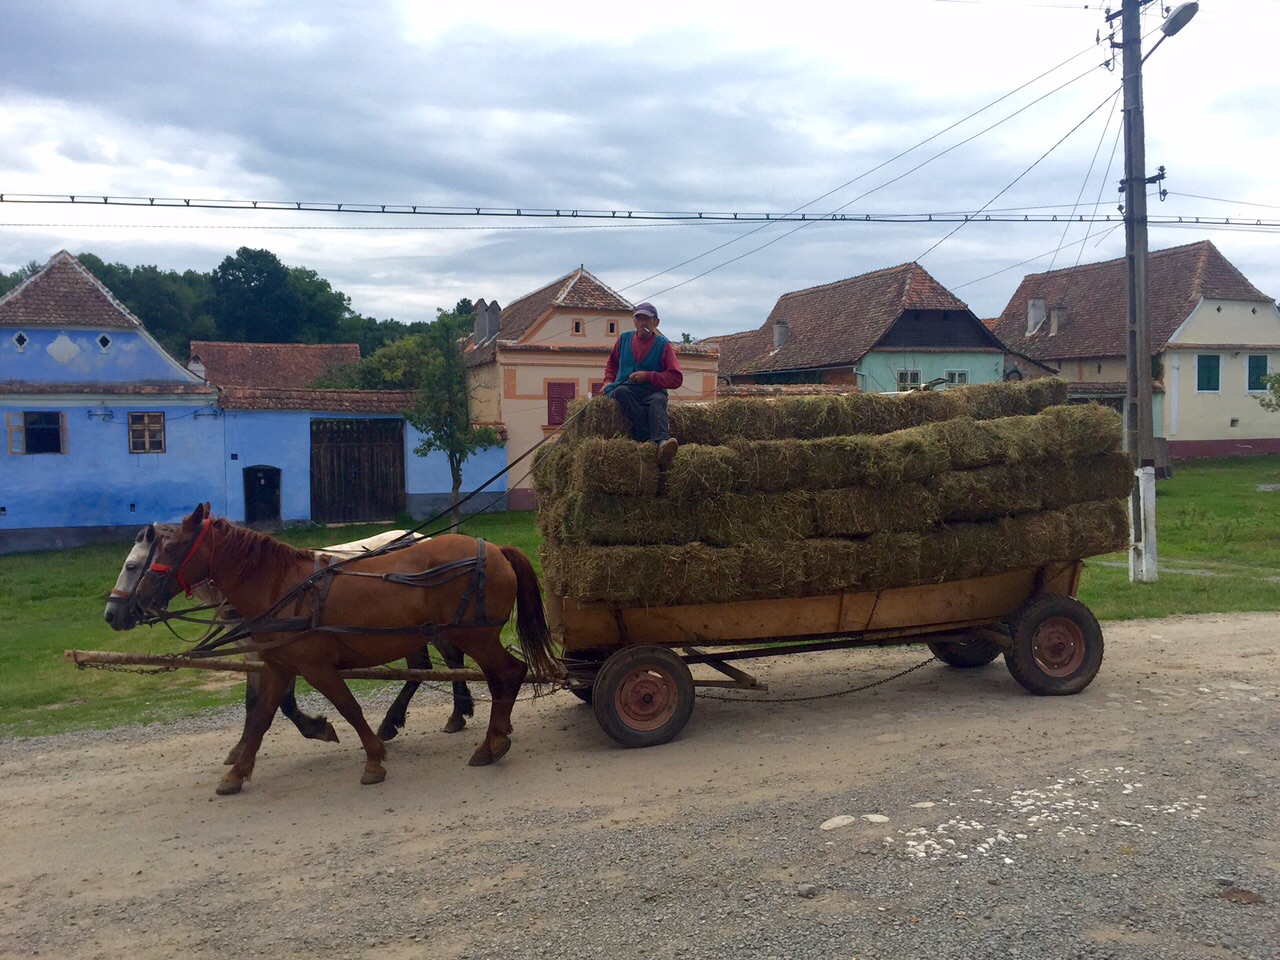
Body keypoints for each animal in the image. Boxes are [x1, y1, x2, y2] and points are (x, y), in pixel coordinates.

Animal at [132, 504, 558, 798]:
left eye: (172, 548)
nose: (137, 602)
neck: (282, 587)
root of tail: (495, 549)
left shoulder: (316, 667)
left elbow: (349, 709)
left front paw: (373, 760)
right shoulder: (279, 667)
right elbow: (261, 718)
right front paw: (236, 774)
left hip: (476, 637)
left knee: (508, 675)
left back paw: (492, 742)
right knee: (495, 677)